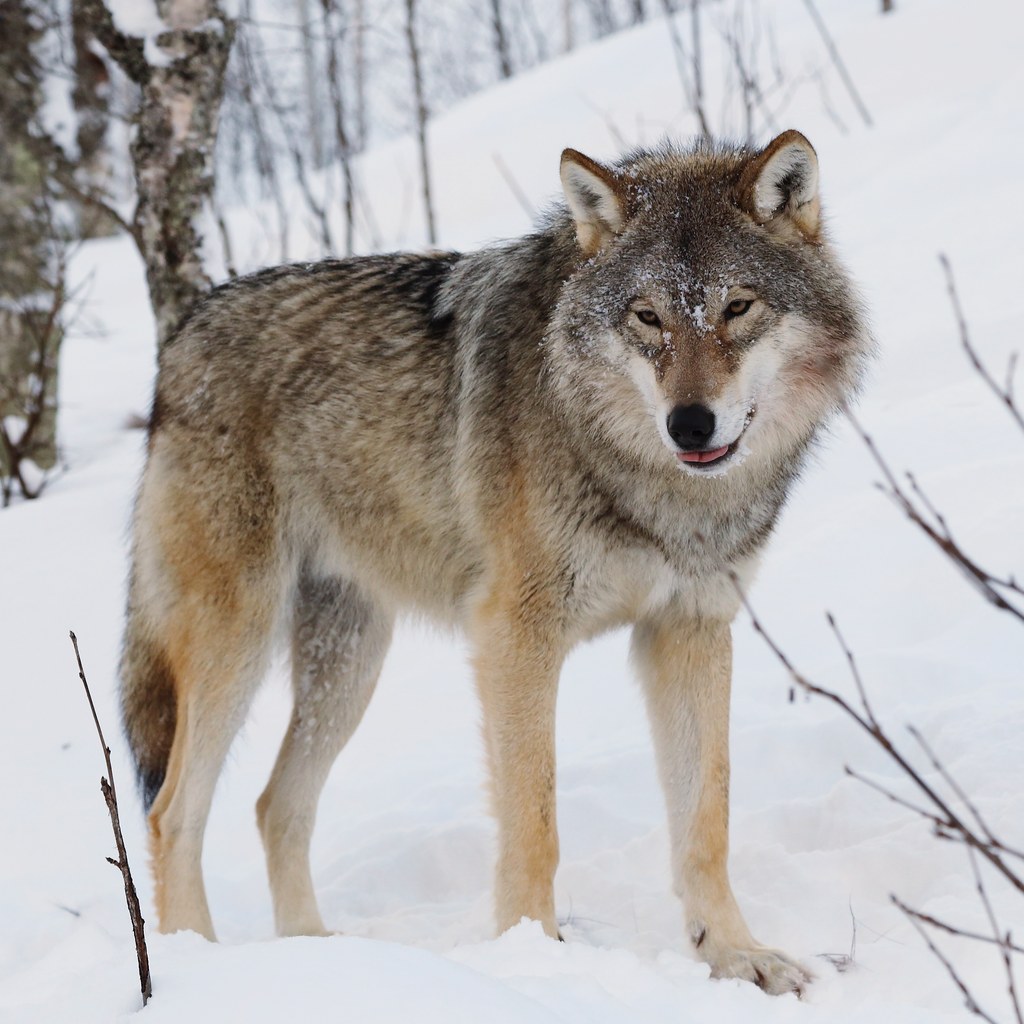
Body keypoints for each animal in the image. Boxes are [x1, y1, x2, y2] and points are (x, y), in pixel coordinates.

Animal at [121, 129, 870, 994]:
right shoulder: (516, 636)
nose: (689, 424)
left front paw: (735, 955)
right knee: (173, 811)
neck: (651, 484)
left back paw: (323, 958)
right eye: (647, 317)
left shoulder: (689, 631)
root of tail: (182, 333)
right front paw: (534, 959)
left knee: (276, 805)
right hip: (236, 645)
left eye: (737, 308)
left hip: (349, 664)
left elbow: (705, 820)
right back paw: (197, 966)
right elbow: (535, 822)